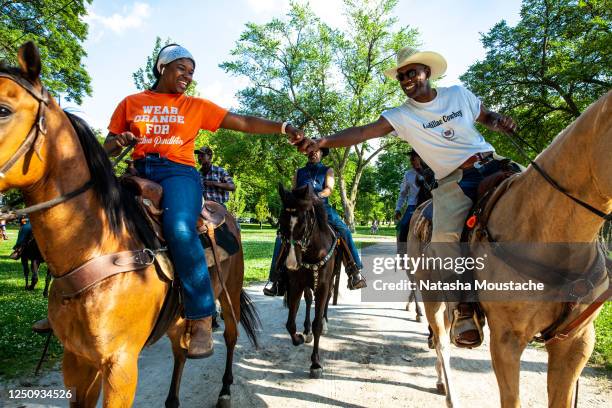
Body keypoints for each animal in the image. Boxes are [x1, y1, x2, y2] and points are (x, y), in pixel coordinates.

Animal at [0, 40, 260, 408]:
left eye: (3, 110)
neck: (95, 246)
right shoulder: (76, 359)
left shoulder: (120, 365)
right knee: (180, 350)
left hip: (230, 293)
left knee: (233, 336)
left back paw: (224, 388)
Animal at [278, 183, 338, 378]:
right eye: (280, 222)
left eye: (303, 224)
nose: (290, 264)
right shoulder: (296, 284)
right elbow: (290, 323)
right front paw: (298, 337)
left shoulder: (323, 286)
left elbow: (317, 323)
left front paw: (316, 363)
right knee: (309, 299)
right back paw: (306, 330)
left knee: (326, 300)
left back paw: (324, 322)